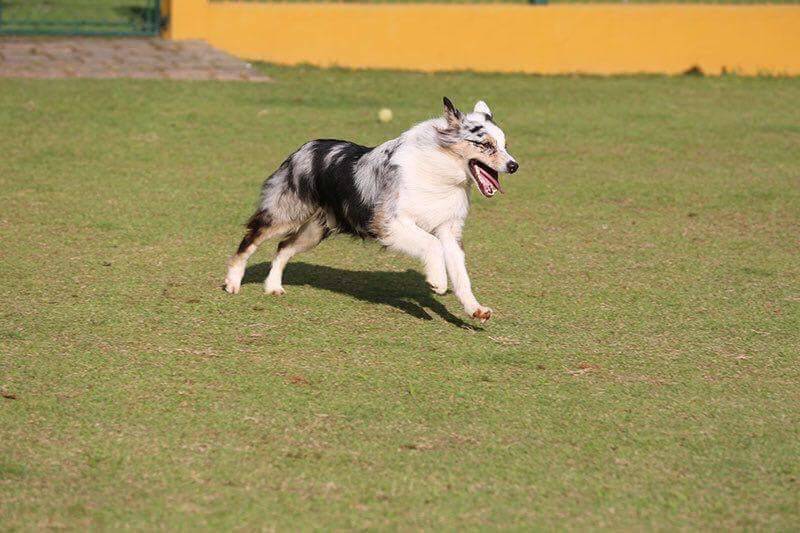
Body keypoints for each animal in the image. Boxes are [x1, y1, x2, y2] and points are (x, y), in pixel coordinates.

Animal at [223, 96, 520, 322]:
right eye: (485, 144)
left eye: (505, 146)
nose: (514, 165)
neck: (441, 172)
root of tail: (302, 149)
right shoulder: (388, 222)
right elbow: (431, 244)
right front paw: (437, 281)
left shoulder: (449, 230)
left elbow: (461, 275)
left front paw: (475, 309)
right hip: (284, 214)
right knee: (249, 241)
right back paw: (232, 283)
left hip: (314, 231)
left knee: (283, 247)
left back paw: (273, 287)